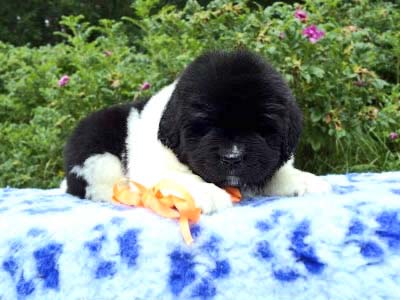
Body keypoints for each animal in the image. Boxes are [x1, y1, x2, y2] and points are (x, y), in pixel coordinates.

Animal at [63, 49, 332, 213]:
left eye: (261, 128)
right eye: (206, 126)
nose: (232, 156)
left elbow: (275, 171)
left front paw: (306, 180)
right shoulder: (156, 168)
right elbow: (182, 178)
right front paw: (208, 193)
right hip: (96, 158)